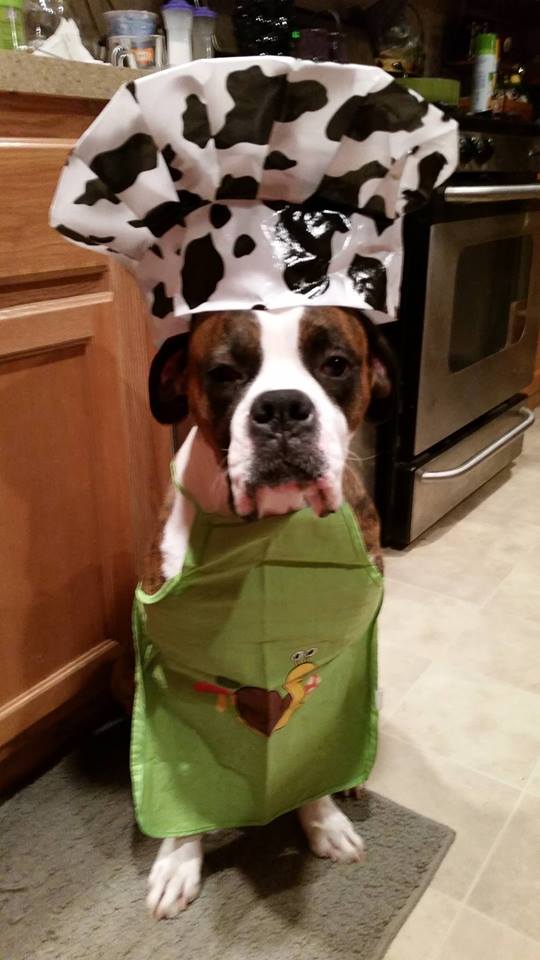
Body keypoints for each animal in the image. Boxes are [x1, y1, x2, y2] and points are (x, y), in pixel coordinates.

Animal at [139, 306, 392, 916]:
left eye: (335, 364)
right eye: (224, 372)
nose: (280, 407)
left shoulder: (343, 656)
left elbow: (316, 749)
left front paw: (322, 820)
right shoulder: (168, 663)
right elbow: (181, 770)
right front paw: (178, 859)